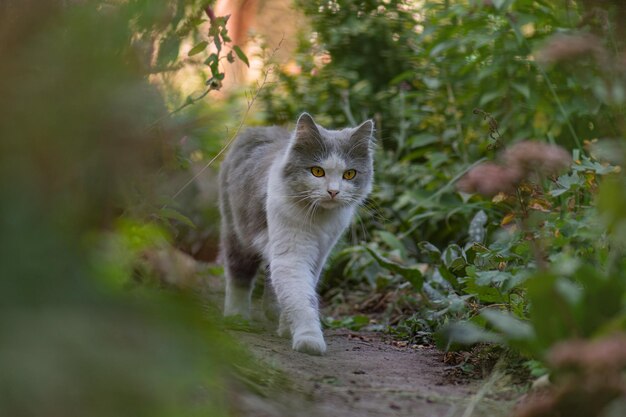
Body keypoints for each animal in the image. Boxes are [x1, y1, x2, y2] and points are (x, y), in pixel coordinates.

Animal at [218, 113, 372, 354]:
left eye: (349, 174)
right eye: (317, 171)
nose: (333, 191)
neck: (319, 218)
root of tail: (260, 129)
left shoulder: (320, 253)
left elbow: (300, 292)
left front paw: (286, 328)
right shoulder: (291, 255)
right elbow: (302, 298)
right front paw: (309, 339)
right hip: (237, 231)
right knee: (238, 275)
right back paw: (236, 316)